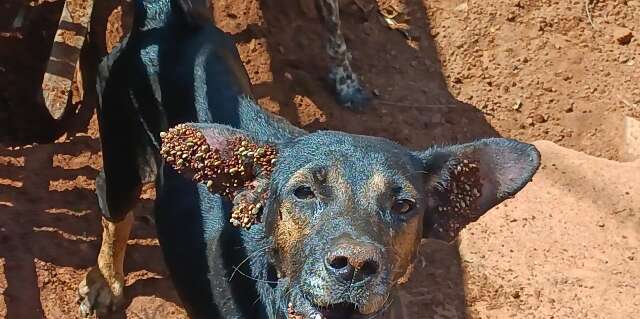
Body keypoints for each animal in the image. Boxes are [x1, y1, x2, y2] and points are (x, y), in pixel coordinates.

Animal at [77, 1, 540, 318]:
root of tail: (167, 20)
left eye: (405, 205)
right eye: (302, 192)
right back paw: (107, 283)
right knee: (111, 206)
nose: (354, 265)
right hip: (123, 152)